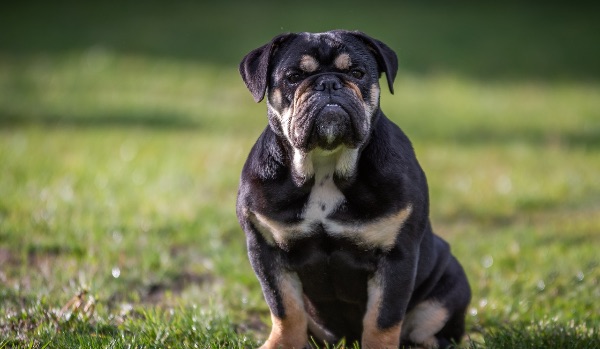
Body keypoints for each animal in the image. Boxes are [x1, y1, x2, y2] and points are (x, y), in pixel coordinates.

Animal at [237, 30, 472, 348]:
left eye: (357, 73)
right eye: (294, 77)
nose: (328, 82)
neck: (325, 167)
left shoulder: (396, 256)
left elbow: (383, 319)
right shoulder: (265, 248)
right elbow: (285, 309)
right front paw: (282, 344)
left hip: (450, 285)